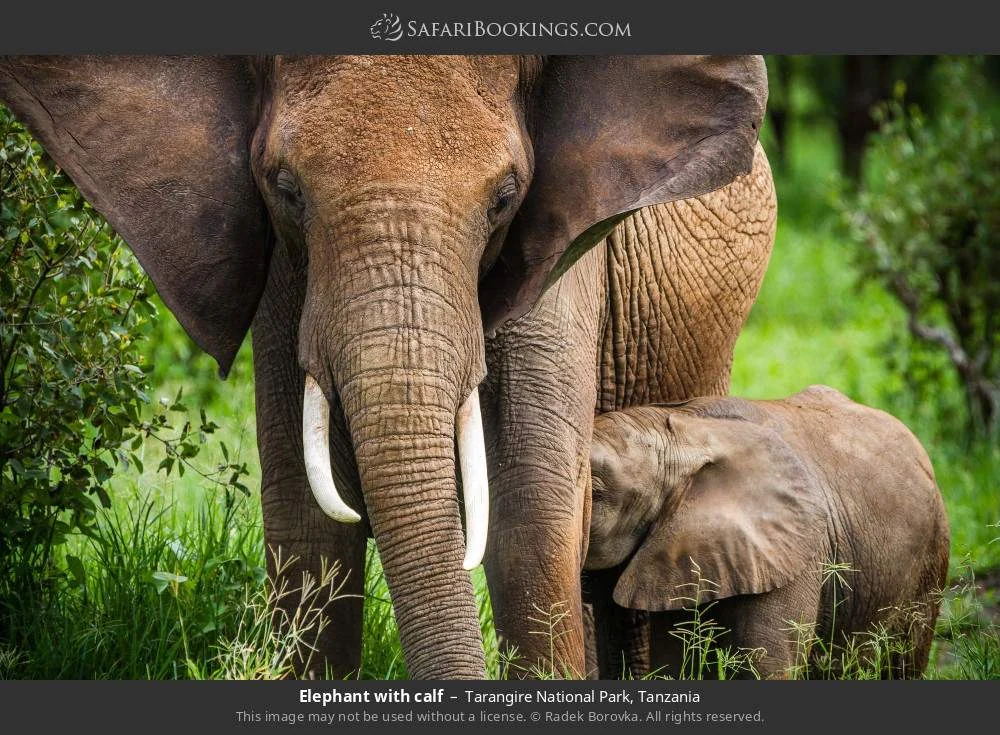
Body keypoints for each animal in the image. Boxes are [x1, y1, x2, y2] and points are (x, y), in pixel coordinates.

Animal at [0, 55, 771, 679]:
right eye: (286, 188)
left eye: (504, 198)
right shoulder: (289, 276)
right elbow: (309, 531)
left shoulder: (559, 257)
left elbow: (532, 520)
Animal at [584, 386, 951, 679]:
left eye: (595, 491)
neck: (687, 429)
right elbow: (674, 661)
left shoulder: (798, 553)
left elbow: (766, 667)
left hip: (931, 554)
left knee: (905, 657)